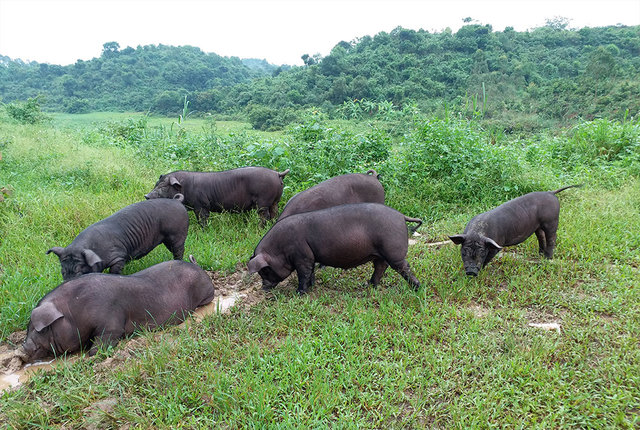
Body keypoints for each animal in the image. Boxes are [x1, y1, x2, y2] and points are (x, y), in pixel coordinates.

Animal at [21, 256, 214, 362]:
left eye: (39, 329)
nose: (22, 348)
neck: (73, 311)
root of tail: (197, 266)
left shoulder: (111, 323)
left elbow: (102, 342)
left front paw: (92, 354)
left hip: (206, 293)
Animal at [46, 196, 189, 282]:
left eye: (79, 272)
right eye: (63, 272)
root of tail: (177, 201)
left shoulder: (119, 257)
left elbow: (114, 271)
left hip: (176, 234)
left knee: (179, 250)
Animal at [144, 166, 290, 225]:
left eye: (164, 186)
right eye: (156, 184)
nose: (146, 196)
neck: (185, 186)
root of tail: (277, 174)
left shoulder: (202, 205)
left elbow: (203, 219)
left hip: (263, 201)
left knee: (264, 216)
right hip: (275, 201)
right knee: (274, 213)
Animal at [248, 203, 422, 294]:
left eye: (264, 270)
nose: (263, 288)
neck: (279, 249)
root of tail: (400, 215)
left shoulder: (302, 257)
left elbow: (303, 275)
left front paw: (299, 293)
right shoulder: (310, 257)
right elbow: (310, 273)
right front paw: (311, 287)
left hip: (393, 250)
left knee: (403, 267)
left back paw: (417, 288)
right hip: (380, 253)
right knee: (380, 267)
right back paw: (368, 285)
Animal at [448, 185, 584, 276]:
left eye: (481, 252)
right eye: (464, 251)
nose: (471, 272)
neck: (477, 232)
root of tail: (551, 192)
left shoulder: (496, 246)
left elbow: (488, 258)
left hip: (551, 221)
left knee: (552, 238)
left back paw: (547, 258)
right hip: (538, 226)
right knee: (541, 236)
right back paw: (540, 254)